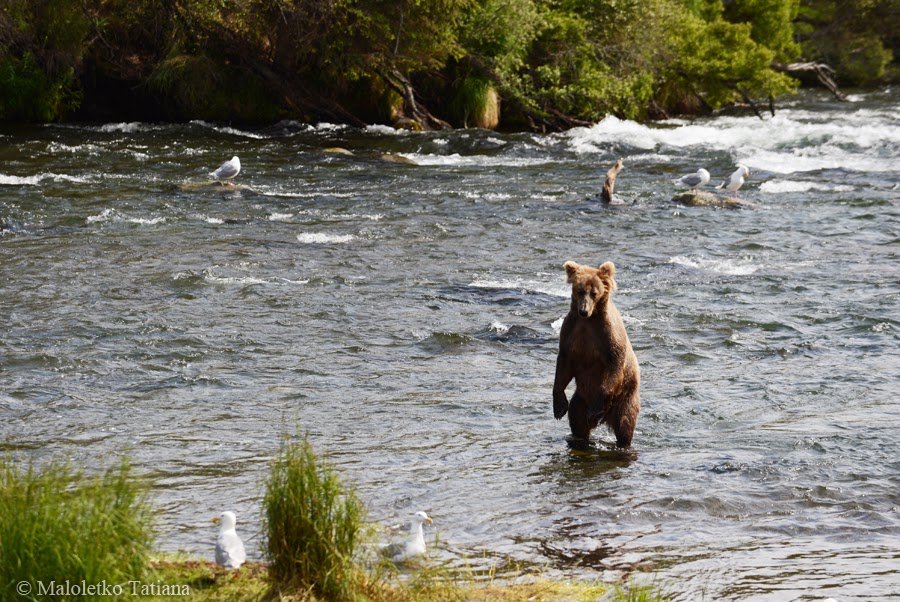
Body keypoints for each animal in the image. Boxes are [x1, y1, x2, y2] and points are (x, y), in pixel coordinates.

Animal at [548, 258, 640, 446]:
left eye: (594, 293)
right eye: (580, 290)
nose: (583, 311)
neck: (588, 321)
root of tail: (606, 419)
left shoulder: (607, 334)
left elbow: (614, 362)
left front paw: (596, 409)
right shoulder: (570, 332)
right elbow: (563, 366)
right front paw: (559, 407)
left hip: (625, 397)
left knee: (625, 423)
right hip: (581, 399)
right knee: (577, 420)